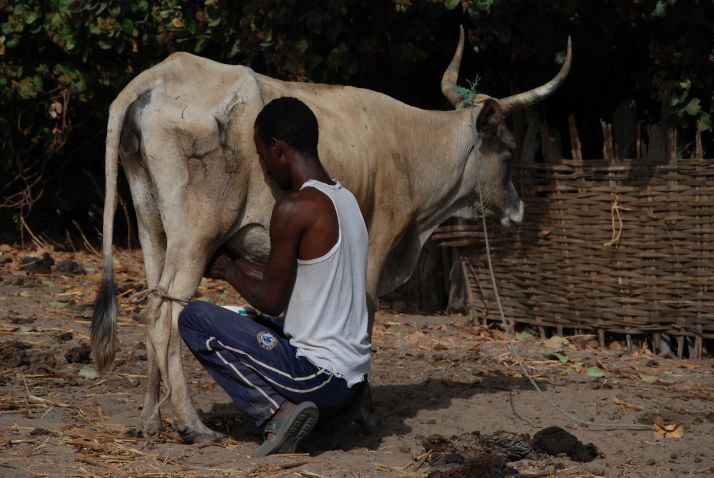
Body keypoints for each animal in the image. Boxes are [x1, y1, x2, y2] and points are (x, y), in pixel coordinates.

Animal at [90, 27, 568, 444]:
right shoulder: (379, 244)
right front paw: (365, 415)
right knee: (165, 314)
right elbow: (368, 320)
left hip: (153, 228)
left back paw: (151, 420)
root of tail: (163, 73)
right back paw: (192, 424)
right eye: (509, 150)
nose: (518, 209)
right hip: (196, 234)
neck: (410, 146)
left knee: (152, 305)